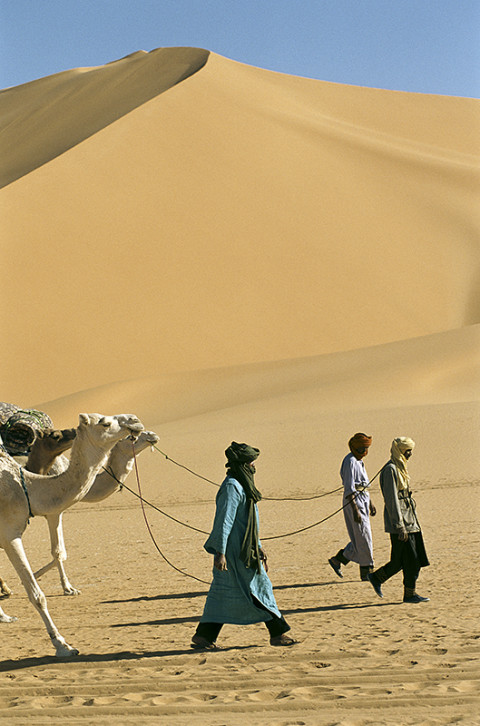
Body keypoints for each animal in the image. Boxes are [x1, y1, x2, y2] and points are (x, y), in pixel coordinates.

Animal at [0, 416, 142, 660]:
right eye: (104, 422)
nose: (135, 421)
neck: (27, 487)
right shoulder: (10, 535)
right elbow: (37, 594)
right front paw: (63, 645)